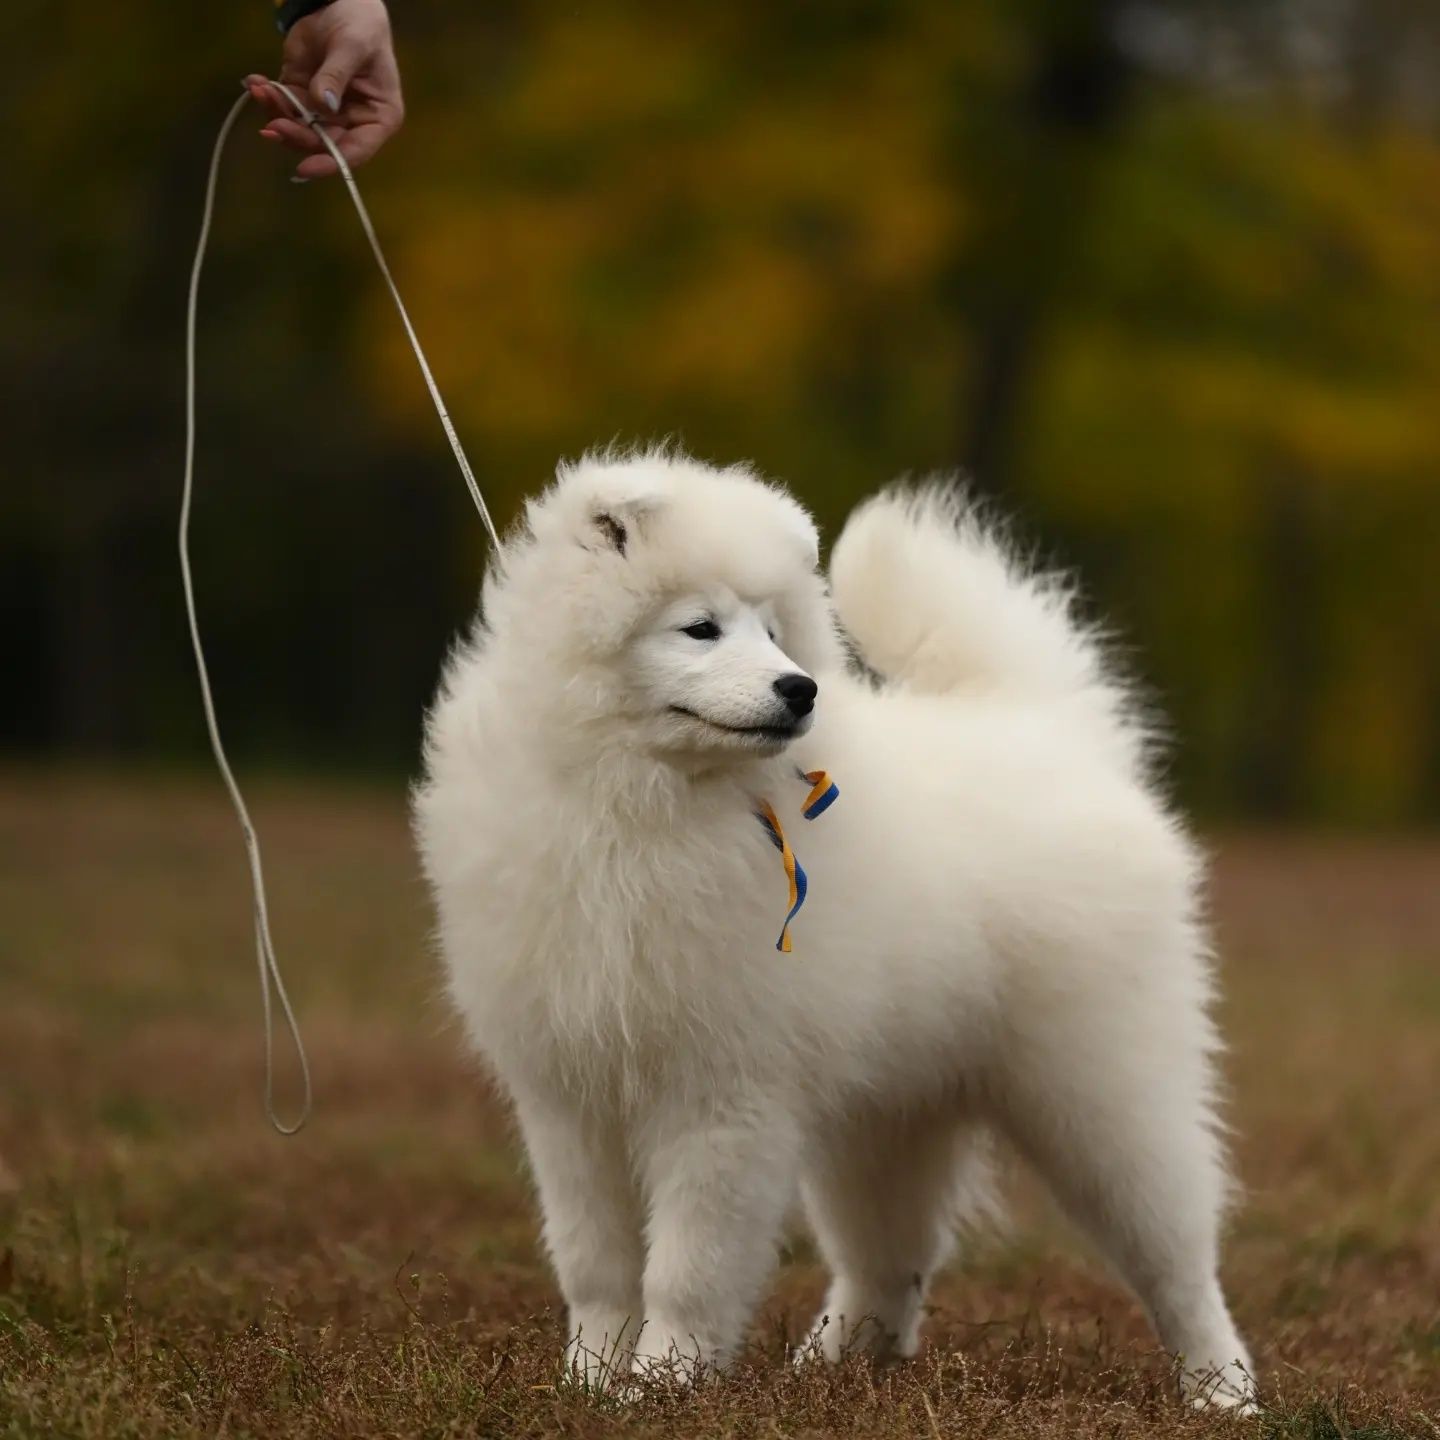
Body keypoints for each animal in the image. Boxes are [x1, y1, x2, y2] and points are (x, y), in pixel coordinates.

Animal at [411, 446, 1255, 1405]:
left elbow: (687, 1266)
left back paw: (1224, 1388)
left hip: (1102, 1091)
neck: (642, 803)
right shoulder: (568, 1096)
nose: (799, 688)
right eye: (700, 628)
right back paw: (830, 1365)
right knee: (888, 1263)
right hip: (885, 1117)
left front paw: (660, 1382)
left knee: (1176, 1256)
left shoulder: (725, 1096)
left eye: (774, 632)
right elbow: (595, 1262)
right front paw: (588, 1379)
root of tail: (1055, 732)